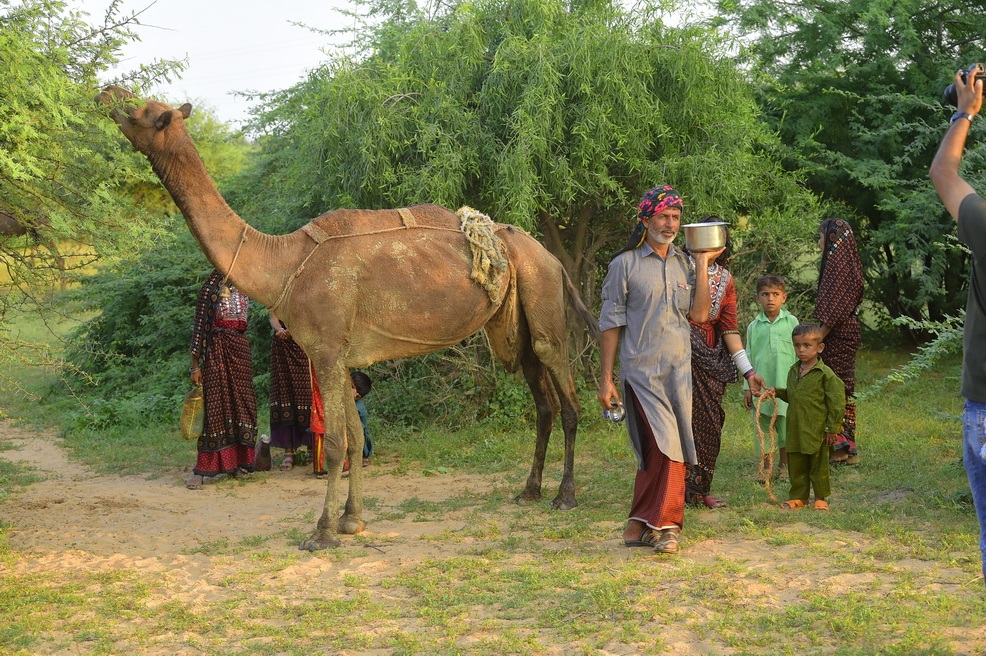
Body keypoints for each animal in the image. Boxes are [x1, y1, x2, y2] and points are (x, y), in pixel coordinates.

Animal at [96, 86, 600, 548]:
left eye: (142, 110)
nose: (107, 92)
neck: (283, 264)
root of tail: (552, 258)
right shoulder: (340, 354)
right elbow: (356, 438)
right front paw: (352, 520)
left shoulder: (324, 349)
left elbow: (337, 441)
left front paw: (321, 532)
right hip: (515, 322)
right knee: (542, 401)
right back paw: (529, 491)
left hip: (542, 297)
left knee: (569, 401)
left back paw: (565, 496)